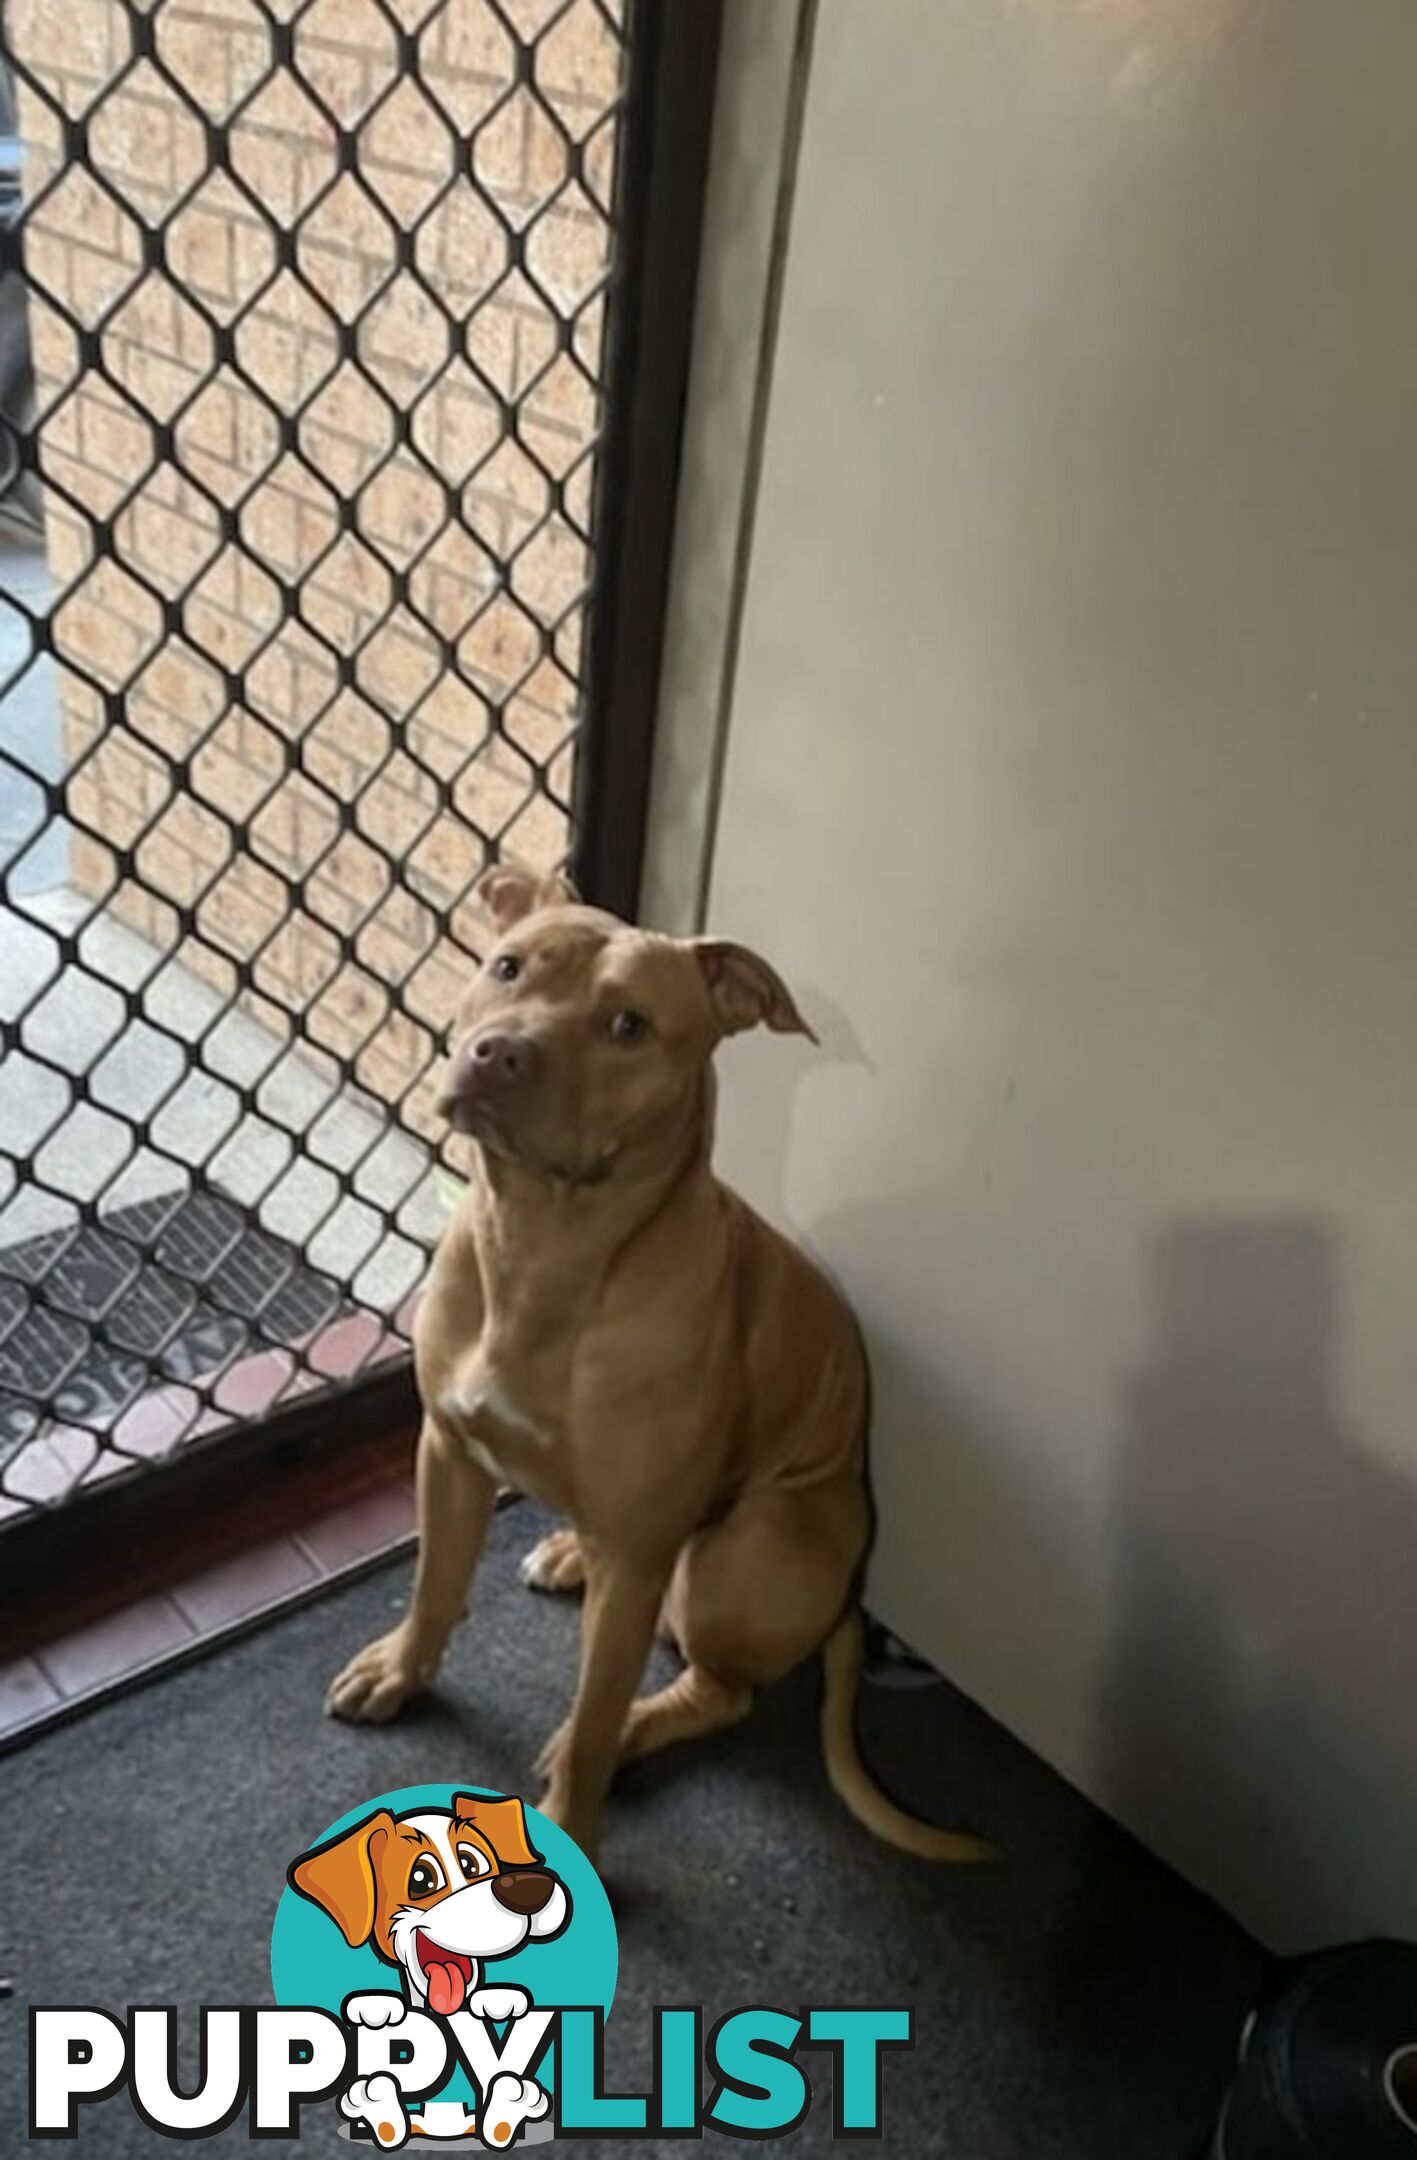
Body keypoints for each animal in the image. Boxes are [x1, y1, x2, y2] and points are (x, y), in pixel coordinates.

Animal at [328, 868, 997, 1866]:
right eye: (507, 967)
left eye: (628, 1025)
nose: (499, 1052)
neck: (542, 1242)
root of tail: (851, 1600)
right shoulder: (446, 1452)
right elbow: (434, 1582)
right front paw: (402, 1671)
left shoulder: (638, 1572)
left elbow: (594, 1717)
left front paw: (577, 1810)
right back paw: (569, 1552)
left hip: (725, 1566)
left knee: (718, 1692)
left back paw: (636, 1726)